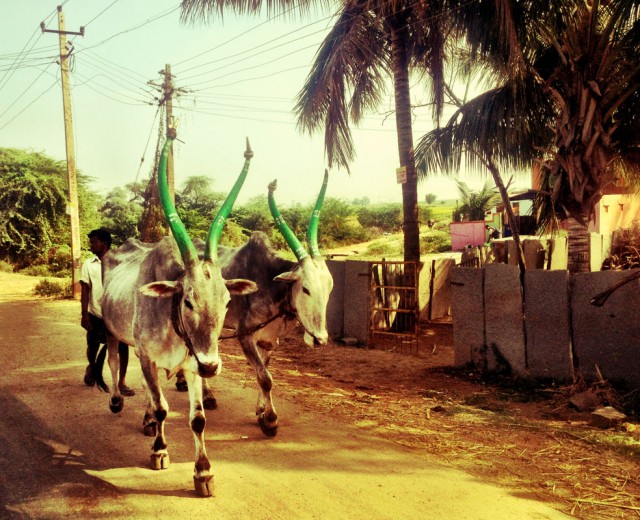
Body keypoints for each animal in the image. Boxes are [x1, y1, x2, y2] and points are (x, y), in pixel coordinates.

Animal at [99, 129, 258, 497]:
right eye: (187, 301)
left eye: (227, 301)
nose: (212, 365)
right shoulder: (146, 355)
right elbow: (161, 407)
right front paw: (159, 451)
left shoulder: (191, 363)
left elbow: (196, 419)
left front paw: (203, 472)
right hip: (114, 333)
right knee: (114, 363)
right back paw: (117, 401)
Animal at [172, 171, 334, 437]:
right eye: (306, 288)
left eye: (329, 288)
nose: (320, 339)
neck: (270, 284)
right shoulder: (245, 335)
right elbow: (265, 378)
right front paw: (270, 421)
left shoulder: (268, 341)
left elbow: (264, 375)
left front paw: (260, 411)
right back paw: (204, 394)